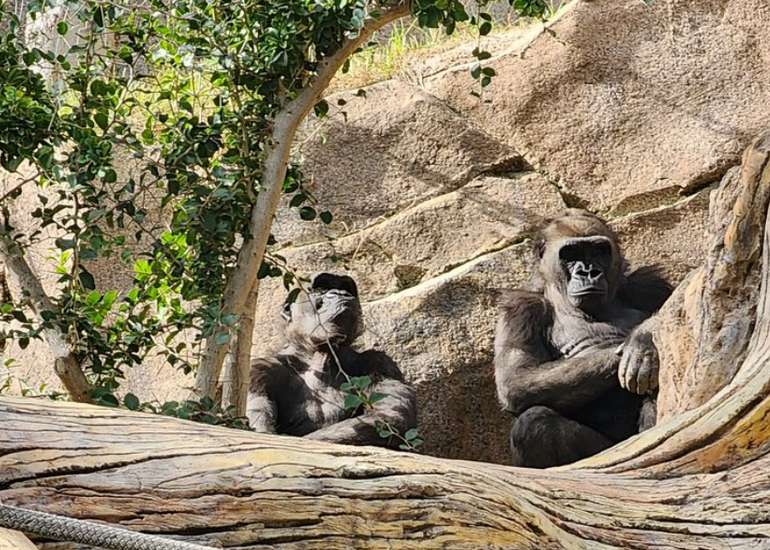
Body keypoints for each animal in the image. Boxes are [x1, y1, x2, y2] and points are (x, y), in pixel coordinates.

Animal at [246, 272, 418, 448]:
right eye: (321, 289)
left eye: (345, 289)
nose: (341, 293)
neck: (319, 354)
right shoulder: (259, 369)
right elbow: (259, 428)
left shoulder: (381, 363)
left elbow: (389, 415)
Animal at [494, 209, 672, 468]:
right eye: (571, 254)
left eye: (598, 251)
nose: (588, 272)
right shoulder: (520, 309)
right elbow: (517, 379)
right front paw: (635, 347)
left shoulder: (649, 285)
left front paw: (643, 339)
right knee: (535, 420)